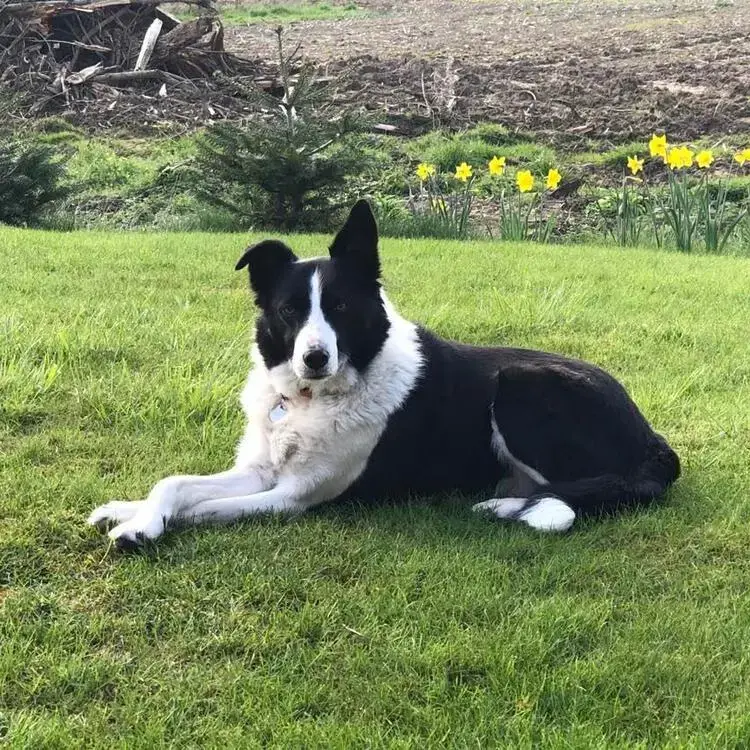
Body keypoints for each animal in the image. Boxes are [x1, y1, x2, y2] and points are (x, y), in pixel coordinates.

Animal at [88, 203, 680, 548]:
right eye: (289, 311)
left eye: (342, 308)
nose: (314, 358)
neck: (312, 399)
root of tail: (653, 438)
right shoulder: (259, 470)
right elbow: (175, 483)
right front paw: (133, 514)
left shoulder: (296, 495)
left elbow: (203, 507)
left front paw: (150, 526)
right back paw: (505, 502)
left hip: (521, 386)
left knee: (598, 489)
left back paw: (514, 507)